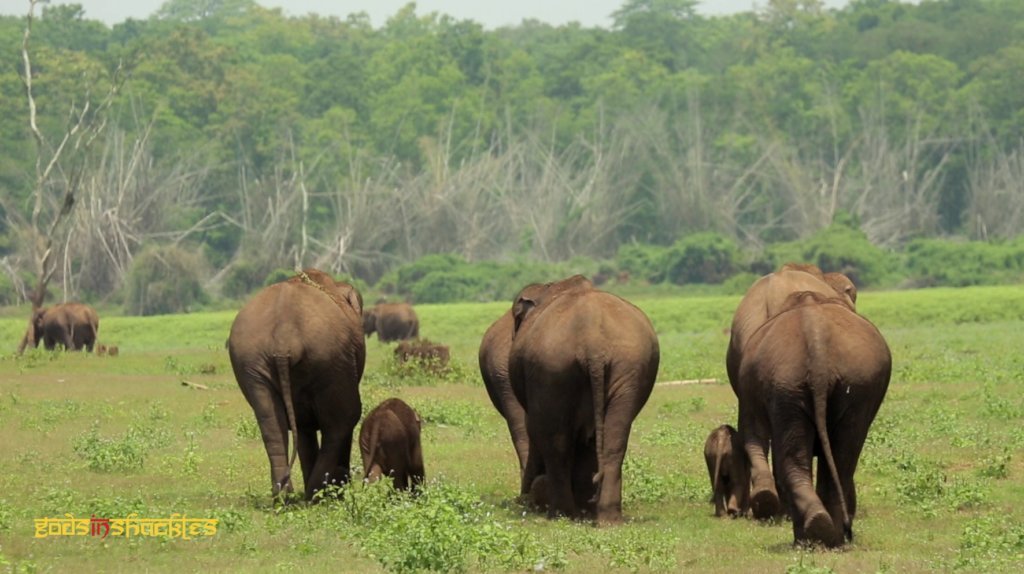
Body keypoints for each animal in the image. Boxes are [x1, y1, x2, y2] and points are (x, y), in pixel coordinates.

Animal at [228, 268, 366, 500]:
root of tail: (284, 338)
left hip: (251, 362)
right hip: (331, 357)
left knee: (271, 423)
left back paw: (285, 496)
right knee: (344, 419)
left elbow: (302, 427)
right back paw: (316, 494)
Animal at [508, 275, 660, 525]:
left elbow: (536, 428)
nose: (524, 500)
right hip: (627, 367)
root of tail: (593, 343)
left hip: (551, 369)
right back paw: (606, 518)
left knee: (555, 441)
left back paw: (562, 514)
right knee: (614, 438)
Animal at [737, 290, 891, 547]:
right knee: (838, 457)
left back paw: (818, 534)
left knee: (824, 459)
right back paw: (826, 534)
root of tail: (815, 341)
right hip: (806, 385)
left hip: (820, 384)